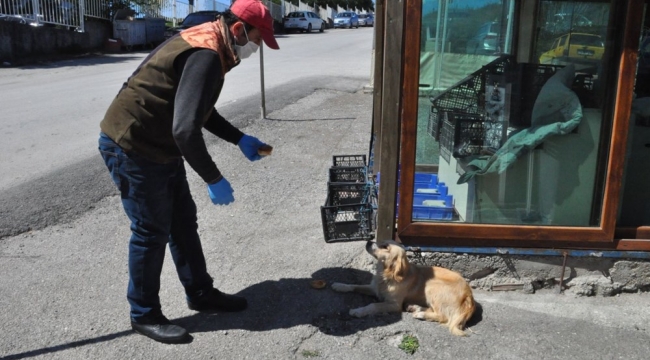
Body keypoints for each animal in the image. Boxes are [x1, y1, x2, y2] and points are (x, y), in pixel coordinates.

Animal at [332, 240, 474, 336]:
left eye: (385, 247)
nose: (368, 241)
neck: (387, 275)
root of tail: (469, 296)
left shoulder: (394, 305)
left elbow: (373, 305)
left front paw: (358, 311)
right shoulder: (374, 288)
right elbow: (354, 286)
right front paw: (340, 285)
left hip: (432, 286)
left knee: (443, 316)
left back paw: (421, 313)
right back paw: (415, 307)